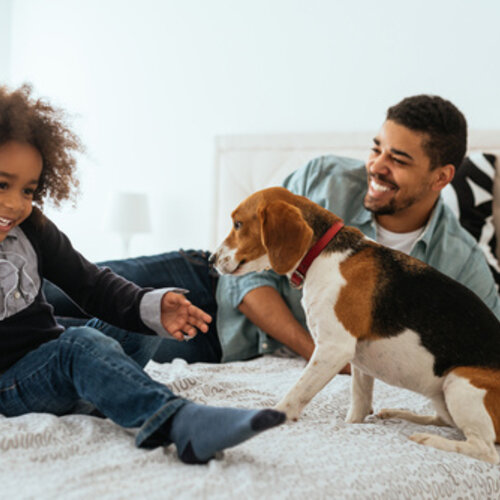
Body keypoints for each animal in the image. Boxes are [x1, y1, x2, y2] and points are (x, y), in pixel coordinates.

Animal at [210, 186, 500, 462]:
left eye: (238, 224)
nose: (212, 260)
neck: (320, 253)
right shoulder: (359, 362)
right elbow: (358, 405)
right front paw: (355, 423)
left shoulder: (333, 349)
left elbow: (296, 392)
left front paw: (271, 417)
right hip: (441, 395)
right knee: (446, 422)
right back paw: (400, 415)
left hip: (460, 382)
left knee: (484, 450)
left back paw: (427, 439)